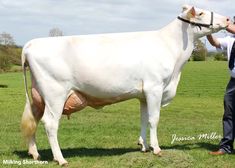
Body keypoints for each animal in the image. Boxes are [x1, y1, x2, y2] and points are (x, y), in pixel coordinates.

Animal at [21, 4, 229, 166]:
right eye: (200, 13)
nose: (228, 19)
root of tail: (30, 44)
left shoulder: (144, 94)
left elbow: (144, 119)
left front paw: (144, 146)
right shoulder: (155, 88)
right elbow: (154, 119)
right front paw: (157, 149)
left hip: (38, 96)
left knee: (34, 119)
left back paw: (35, 154)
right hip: (55, 94)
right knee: (50, 123)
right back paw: (61, 159)